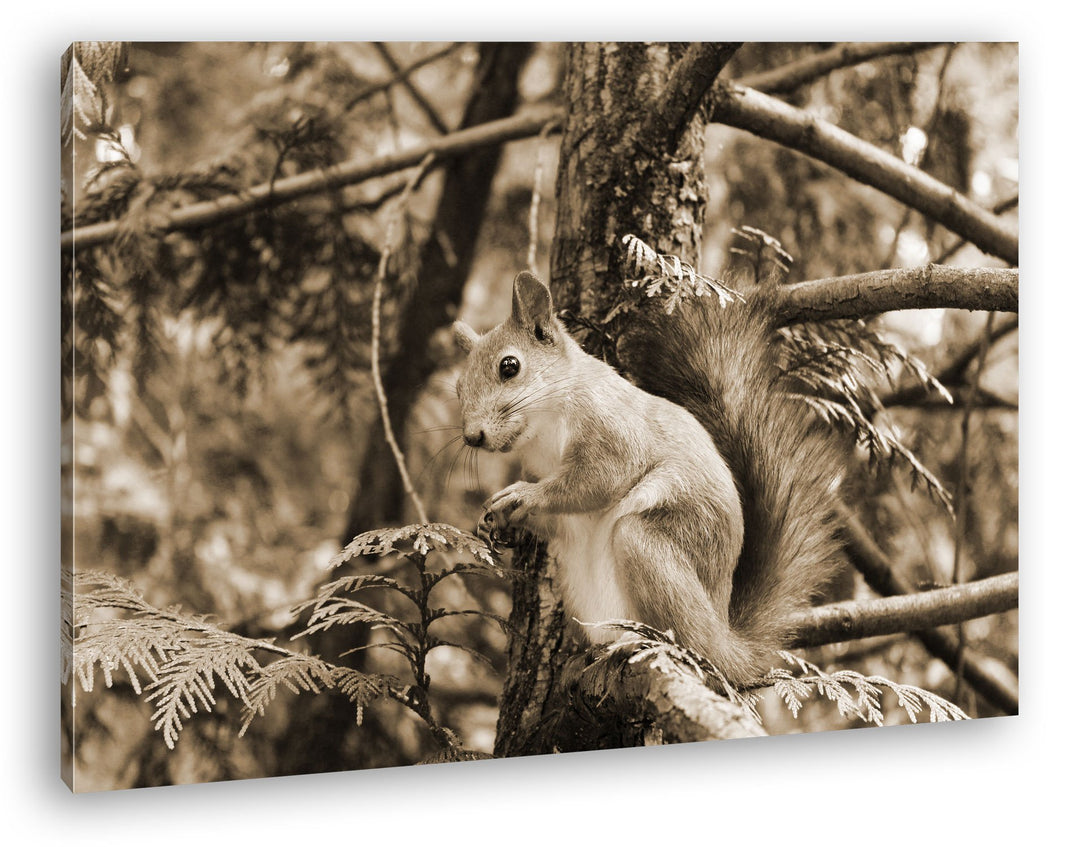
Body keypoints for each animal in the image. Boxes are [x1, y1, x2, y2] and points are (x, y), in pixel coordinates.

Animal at [452, 270, 843, 686]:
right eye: (458, 388)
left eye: (509, 366)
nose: (473, 437)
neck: (543, 430)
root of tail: (726, 639)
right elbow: (557, 520)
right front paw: (498, 520)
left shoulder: (614, 430)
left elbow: (596, 480)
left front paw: (524, 497)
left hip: (650, 545)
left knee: (691, 640)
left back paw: (653, 646)